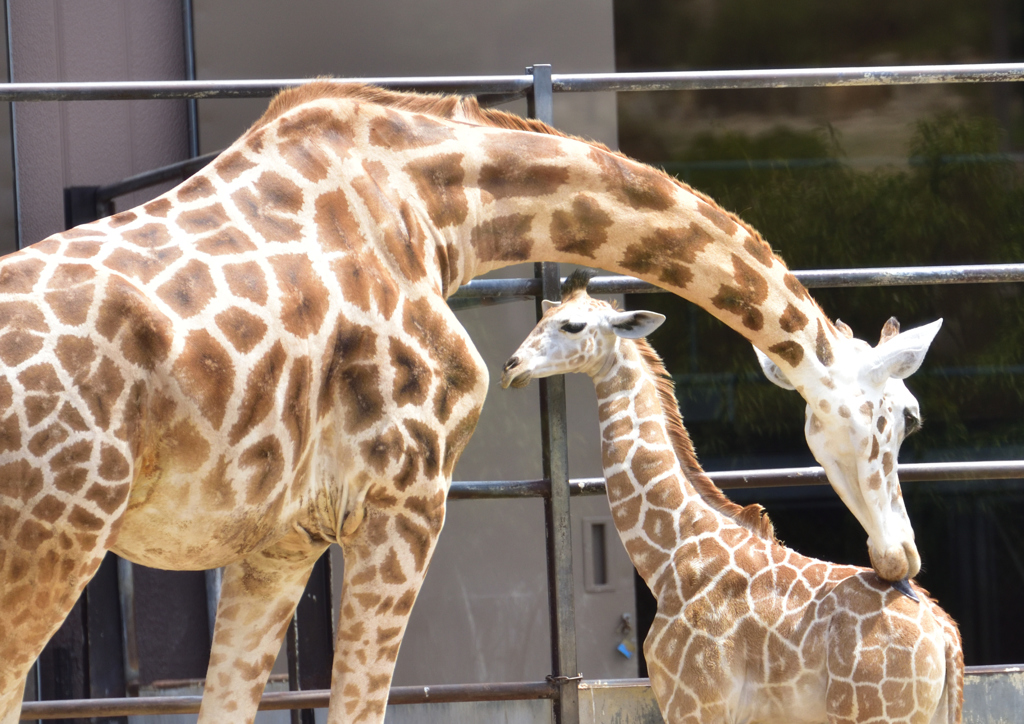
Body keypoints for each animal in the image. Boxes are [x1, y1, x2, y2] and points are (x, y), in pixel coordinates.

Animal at [499, 272, 962, 724]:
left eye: (572, 325)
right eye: (542, 319)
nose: (511, 367)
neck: (670, 557)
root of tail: (945, 634)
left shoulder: (694, 702)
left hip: (871, 714)